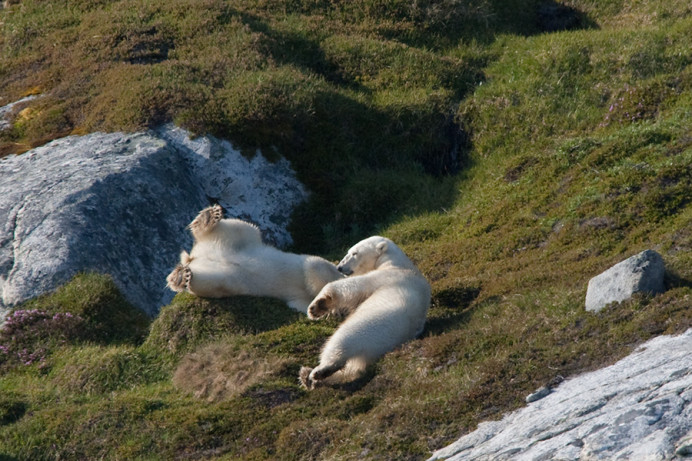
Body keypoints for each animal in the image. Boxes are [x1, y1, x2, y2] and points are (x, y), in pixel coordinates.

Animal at [166, 204, 344, 314]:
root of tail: (195, 257)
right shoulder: (315, 266)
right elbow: (317, 267)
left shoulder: (299, 299)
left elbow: (302, 305)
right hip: (242, 241)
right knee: (243, 228)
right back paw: (210, 217)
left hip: (228, 275)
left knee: (211, 282)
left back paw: (181, 277)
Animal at [299, 235, 431, 389]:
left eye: (354, 253)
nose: (340, 267)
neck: (396, 262)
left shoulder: (387, 276)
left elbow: (351, 287)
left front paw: (316, 307)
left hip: (365, 329)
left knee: (340, 342)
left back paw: (317, 372)